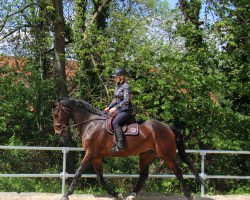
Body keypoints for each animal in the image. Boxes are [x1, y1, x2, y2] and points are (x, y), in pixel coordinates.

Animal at [52, 98, 203, 200]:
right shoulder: (96, 157)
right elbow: (100, 178)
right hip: (146, 155)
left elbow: (78, 173)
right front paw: (116, 194)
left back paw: (188, 195)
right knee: (143, 175)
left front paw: (66, 194)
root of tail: (167, 127)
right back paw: (132, 195)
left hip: (166, 155)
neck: (91, 123)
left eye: (56, 114)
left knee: (178, 171)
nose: (57, 131)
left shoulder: (91, 154)